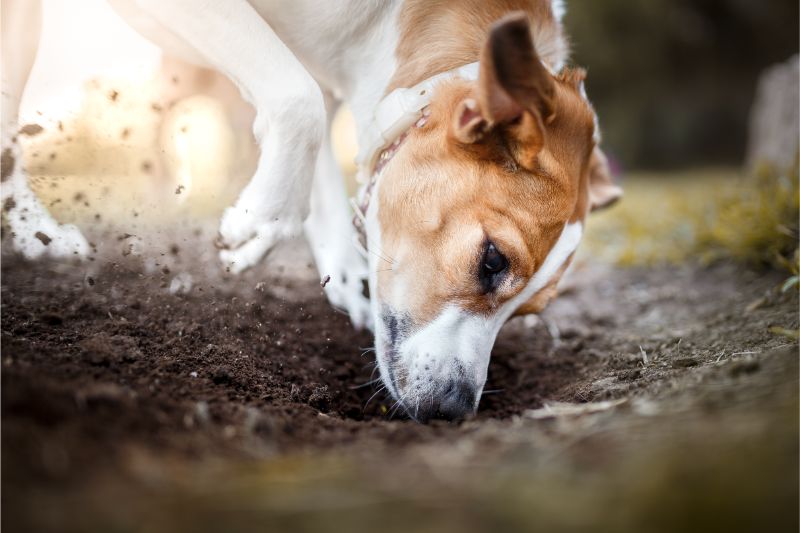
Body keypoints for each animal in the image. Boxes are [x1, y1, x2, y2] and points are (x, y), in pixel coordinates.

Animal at [1, 2, 620, 422]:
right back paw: (36, 231)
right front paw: (261, 219)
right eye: (492, 261)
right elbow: (299, 104)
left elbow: (312, 133)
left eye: (527, 312)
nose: (453, 409)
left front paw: (333, 265)